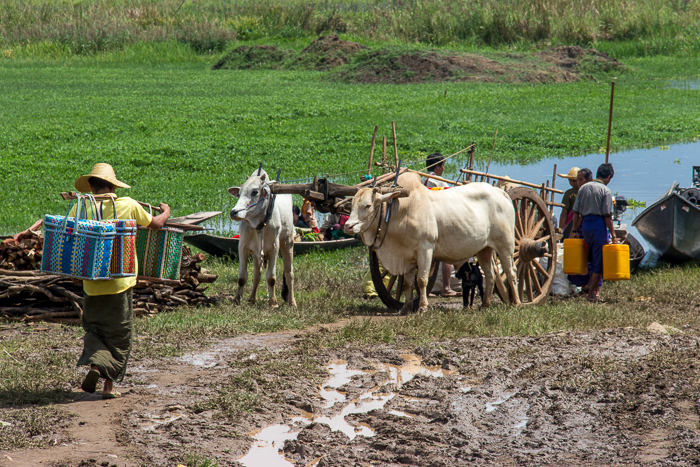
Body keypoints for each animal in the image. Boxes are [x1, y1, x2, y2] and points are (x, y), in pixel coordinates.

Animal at [230, 169, 296, 308]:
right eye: (239, 193)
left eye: (255, 192)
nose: (234, 212)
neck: (258, 224)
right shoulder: (243, 246)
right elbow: (242, 277)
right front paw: (237, 299)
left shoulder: (274, 248)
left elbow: (271, 278)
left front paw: (273, 302)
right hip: (257, 254)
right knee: (257, 273)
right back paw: (252, 299)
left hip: (287, 242)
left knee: (289, 273)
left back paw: (292, 302)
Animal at [344, 173, 520, 314]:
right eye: (351, 205)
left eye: (367, 206)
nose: (348, 226)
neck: (400, 212)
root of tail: (500, 191)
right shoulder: (406, 257)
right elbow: (408, 283)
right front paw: (406, 307)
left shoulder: (425, 249)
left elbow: (421, 280)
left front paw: (422, 307)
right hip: (484, 249)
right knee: (490, 274)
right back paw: (485, 305)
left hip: (506, 245)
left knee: (511, 271)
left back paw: (516, 303)